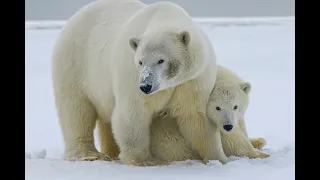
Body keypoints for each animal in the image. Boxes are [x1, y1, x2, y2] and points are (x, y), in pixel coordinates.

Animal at [52, 0, 228, 166]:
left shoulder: (192, 80)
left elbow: (196, 117)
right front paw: (145, 160)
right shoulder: (131, 75)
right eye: (140, 61)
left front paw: (218, 159)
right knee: (75, 109)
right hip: (75, 63)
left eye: (161, 60)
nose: (146, 86)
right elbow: (133, 112)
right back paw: (88, 154)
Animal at [99, 65, 268, 161]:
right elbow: (232, 140)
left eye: (235, 106)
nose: (228, 126)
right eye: (217, 108)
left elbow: (241, 126)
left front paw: (256, 140)